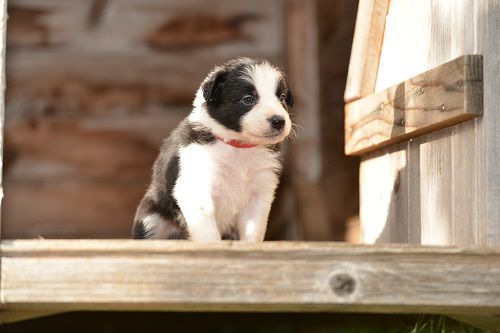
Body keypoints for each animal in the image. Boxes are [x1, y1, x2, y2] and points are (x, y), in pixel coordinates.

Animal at [134, 55, 292, 240]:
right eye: (248, 99)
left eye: (282, 98)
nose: (279, 121)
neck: (239, 146)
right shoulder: (195, 186)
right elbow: (208, 233)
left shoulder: (260, 193)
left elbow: (253, 232)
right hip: (152, 218)